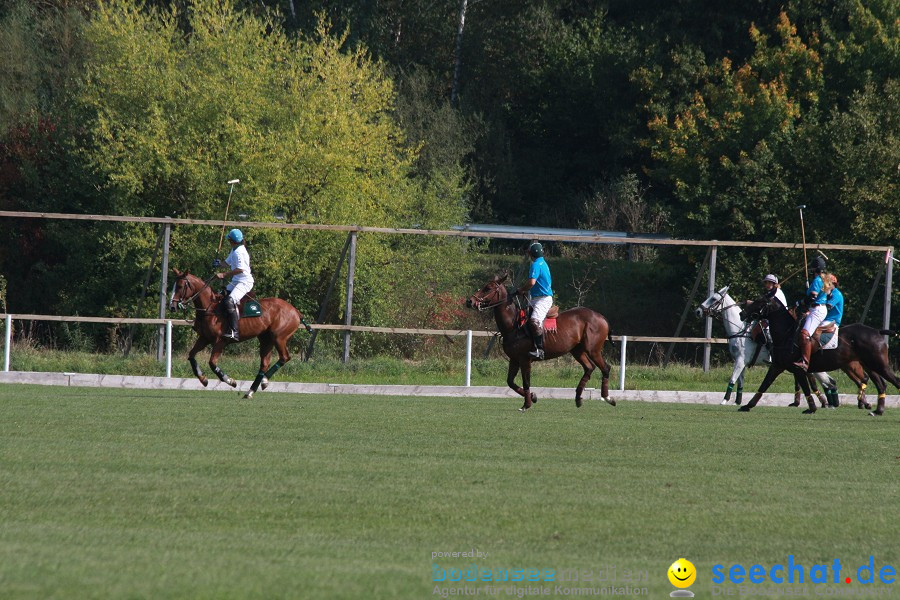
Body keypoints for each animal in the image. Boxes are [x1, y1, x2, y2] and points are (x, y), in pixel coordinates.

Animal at [169, 268, 312, 398]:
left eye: (180, 286)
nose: (172, 307)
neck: (210, 308)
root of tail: (296, 311)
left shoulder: (220, 341)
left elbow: (212, 363)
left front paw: (230, 381)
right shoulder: (204, 338)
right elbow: (191, 355)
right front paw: (203, 379)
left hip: (279, 337)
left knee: (284, 357)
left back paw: (264, 381)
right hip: (265, 339)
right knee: (265, 363)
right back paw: (251, 391)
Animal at [468, 274, 616, 410]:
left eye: (488, 288)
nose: (470, 301)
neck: (513, 326)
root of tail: (602, 317)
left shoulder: (525, 359)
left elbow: (526, 382)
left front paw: (526, 404)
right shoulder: (514, 359)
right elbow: (510, 382)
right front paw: (533, 397)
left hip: (593, 349)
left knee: (605, 368)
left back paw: (608, 398)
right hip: (577, 350)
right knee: (589, 367)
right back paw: (578, 398)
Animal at [696, 286, 872, 408]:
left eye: (713, 298)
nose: (698, 311)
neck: (740, 329)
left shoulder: (740, 360)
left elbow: (732, 379)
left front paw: (724, 401)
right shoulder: (741, 361)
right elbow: (740, 381)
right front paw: (737, 401)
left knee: (830, 381)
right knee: (828, 382)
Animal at [736, 296, 896, 418]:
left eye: (760, 301)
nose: (742, 314)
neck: (786, 335)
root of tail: (878, 331)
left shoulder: (799, 369)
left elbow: (807, 388)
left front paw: (812, 408)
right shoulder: (777, 366)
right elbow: (764, 384)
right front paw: (747, 405)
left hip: (878, 365)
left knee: (888, 381)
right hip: (869, 366)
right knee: (880, 384)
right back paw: (877, 410)